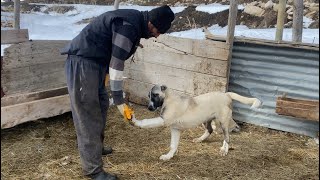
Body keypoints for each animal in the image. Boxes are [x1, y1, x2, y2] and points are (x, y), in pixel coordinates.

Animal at [131, 85, 262, 161]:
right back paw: (200, 139)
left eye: (155, 95)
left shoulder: (164, 121)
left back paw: (224, 150)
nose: (149, 108)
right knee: (210, 130)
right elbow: (173, 145)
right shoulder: (175, 129)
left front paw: (135, 120)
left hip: (222, 122)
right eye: (149, 96)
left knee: (227, 137)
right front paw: (168, 156)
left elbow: (147, 122)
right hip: (206, 120)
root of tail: (226, 94)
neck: (168, 99)